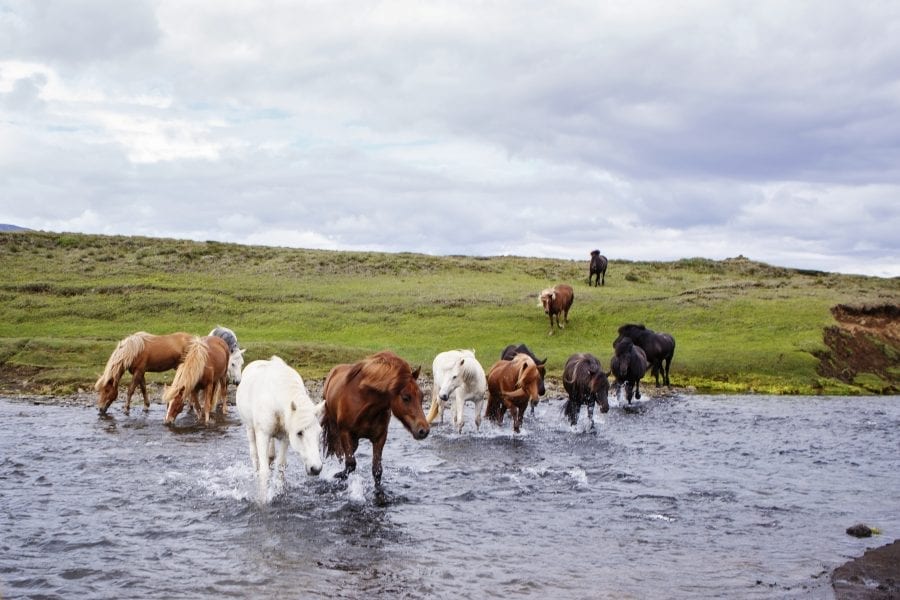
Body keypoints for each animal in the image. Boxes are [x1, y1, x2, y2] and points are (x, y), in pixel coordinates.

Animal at [237, 354, 326, 504]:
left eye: (319, 433)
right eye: (299, 433)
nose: (316, 469)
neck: (275, 399)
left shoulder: (285, 437)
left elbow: (281, 466)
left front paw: (280, 491)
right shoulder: (263, 435)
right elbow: (264, 471)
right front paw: (263, 498)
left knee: (271, 455)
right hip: (249, 428)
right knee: (255, 457)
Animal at [322, 352, 430, 488]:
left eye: (422, 397)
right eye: (406, 397)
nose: (424, 431)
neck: (365, 401)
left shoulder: (380, 437)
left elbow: (377, 471)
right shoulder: (345, 432)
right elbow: (351, 464)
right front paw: (337, 476)